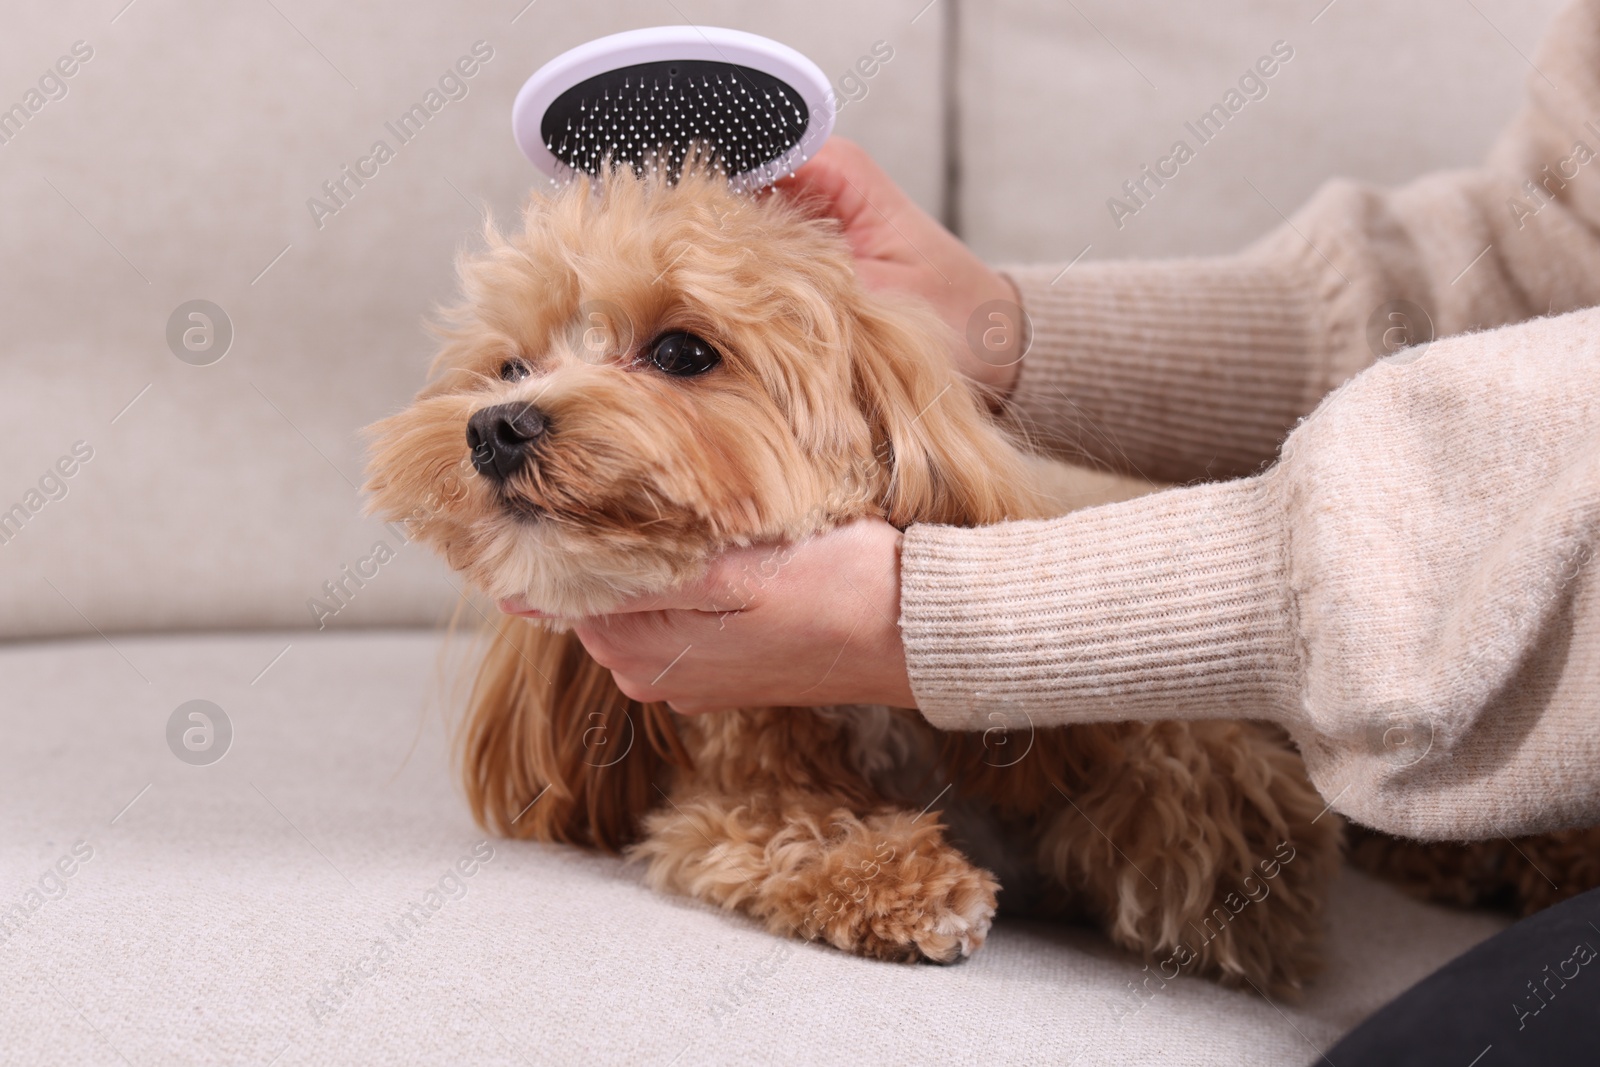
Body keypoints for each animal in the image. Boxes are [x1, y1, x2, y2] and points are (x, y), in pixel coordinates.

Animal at [363, 158, 1350, 991]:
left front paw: (1224, 886)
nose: (496, 426)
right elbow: (769, 830)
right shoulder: (729, 789)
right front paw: (907, 881)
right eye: (510, 364)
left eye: (681, 352)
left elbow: (1183, 755)